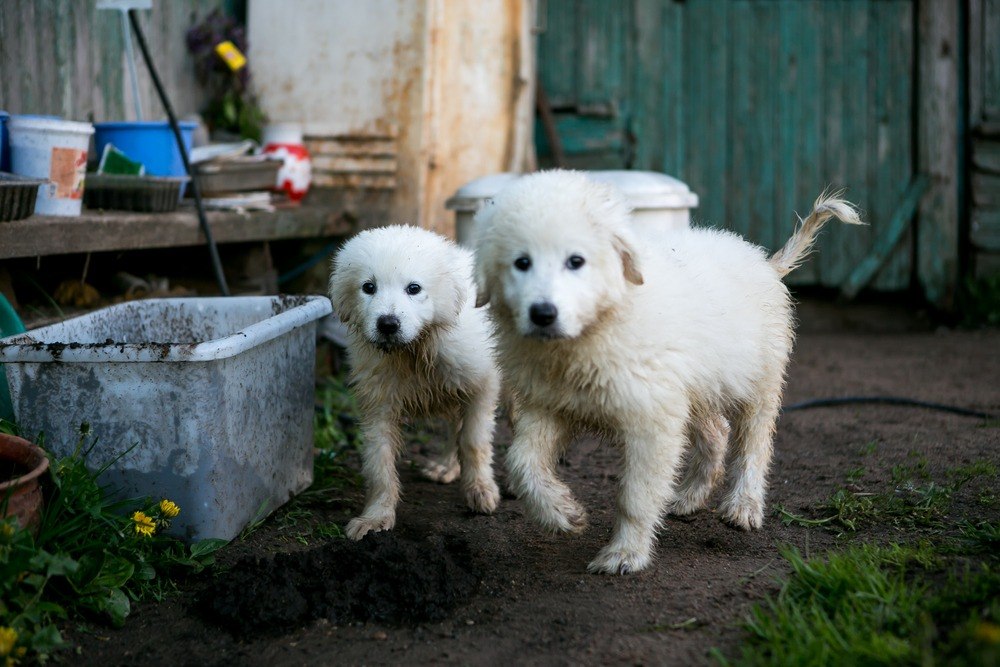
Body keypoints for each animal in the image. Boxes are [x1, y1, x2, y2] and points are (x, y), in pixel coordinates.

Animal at [330, 226, 504, 544]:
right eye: (368, 287)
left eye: (413, 288)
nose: (387, 324)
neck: (414, 350)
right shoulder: (378, 401)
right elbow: (379, 464)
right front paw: (376, 517)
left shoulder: (482, 384)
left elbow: (473, 441)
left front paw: (480, 490)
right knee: (453, 426)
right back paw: (446, 466)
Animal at [472, 171, 864, 576]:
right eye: (521, 262)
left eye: (576, 261)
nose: (543, 314)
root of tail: (762, 262)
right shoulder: (548, 404)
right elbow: (522, 462)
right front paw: (562, 514)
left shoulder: (651, 419)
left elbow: (636, 494)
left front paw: (625, 554)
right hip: (694, 389)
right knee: (716, 433)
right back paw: (689, 497)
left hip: (760, 378)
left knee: (754, 445)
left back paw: (743, 505)